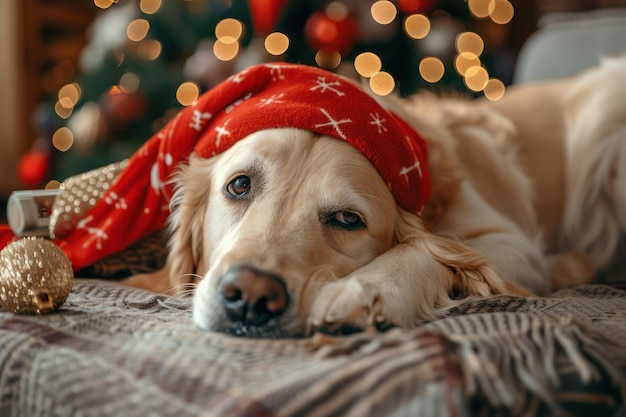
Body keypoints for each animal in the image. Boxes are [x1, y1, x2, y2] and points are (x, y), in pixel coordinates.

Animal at [123, 57, 624, 338]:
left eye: (348, 219)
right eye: (239, 185)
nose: (249, 296)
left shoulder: (515, 243)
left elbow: (430, 249)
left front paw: (364, 291)